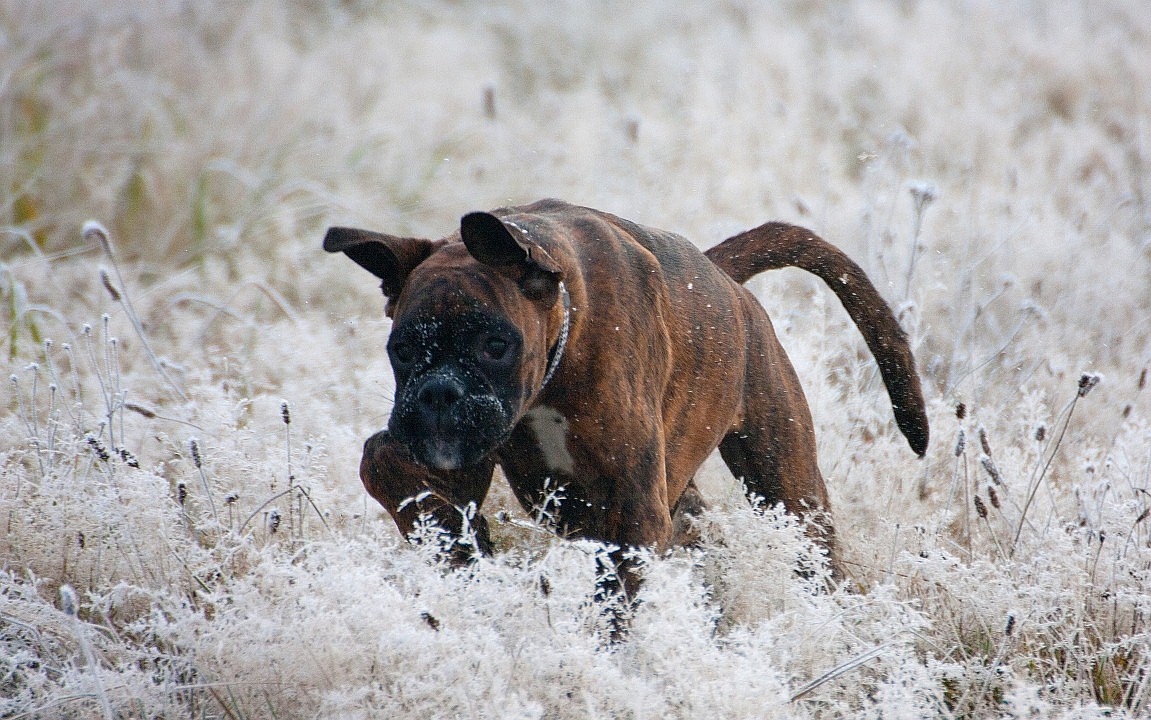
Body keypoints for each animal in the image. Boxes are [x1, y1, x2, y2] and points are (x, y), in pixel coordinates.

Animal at [322, 197, 925, 616]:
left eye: (495, 344)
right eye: (402, 351)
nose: (439, 393)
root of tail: (724, 278)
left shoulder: (632, 506)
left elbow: (616, 599)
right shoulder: (456, 457)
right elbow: (380, 459)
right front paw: (455, 546)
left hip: (788, 487)